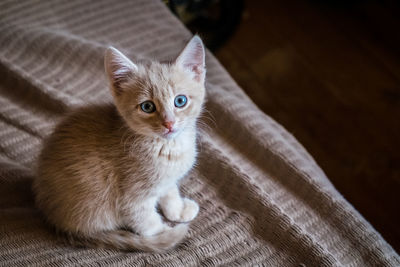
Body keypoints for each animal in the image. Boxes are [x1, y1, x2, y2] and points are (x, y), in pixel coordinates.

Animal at [33, 36, 206, 253]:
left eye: (180, 101)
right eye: (147, 106)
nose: (169, 123)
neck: (169, 147)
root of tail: (54, 221)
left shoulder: (166, 181)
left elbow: (170, 193)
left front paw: (178, 210)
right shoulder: (132, 197)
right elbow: (147, 222)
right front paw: (165, 232)